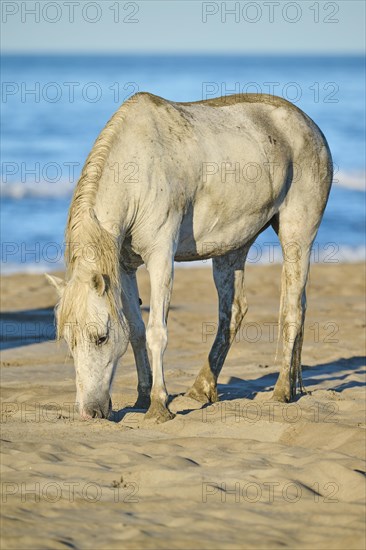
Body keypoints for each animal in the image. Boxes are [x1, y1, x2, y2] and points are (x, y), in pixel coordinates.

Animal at [45, 92, 332, 424]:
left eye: (101, 337)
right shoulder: (124, 267)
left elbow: (157, 331)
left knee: (293, 309)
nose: (90, 412)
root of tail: (308, 123)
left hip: (297, 236)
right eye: (69, 341)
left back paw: (282, 391)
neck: (136, 172)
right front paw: (142, 397)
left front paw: (158, 406)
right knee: (233, 312)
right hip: (232, 248)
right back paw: (201, 389)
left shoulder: (160, 257)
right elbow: (137, 331)